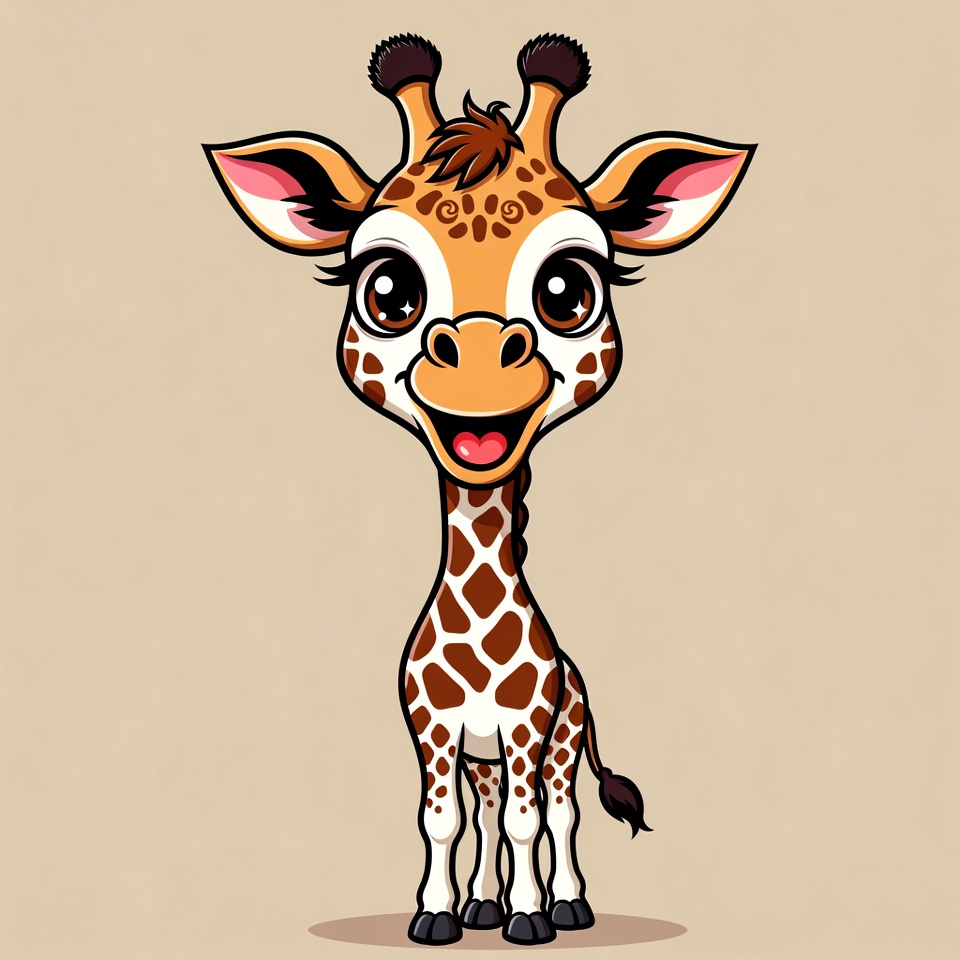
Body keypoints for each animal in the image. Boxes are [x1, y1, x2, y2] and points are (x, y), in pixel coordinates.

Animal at [205, 34, 754, 945]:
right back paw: (483, 904)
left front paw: (533, 919)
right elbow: (443, 819)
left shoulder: (530, 727)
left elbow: (536, 821)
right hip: (487, 755)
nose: (478, 368)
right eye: (388, 289)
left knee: (558, 811)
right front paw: (439, 915)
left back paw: (562, 904)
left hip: (563, 739)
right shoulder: (435, 731)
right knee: (492, 809)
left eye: (568, 289)